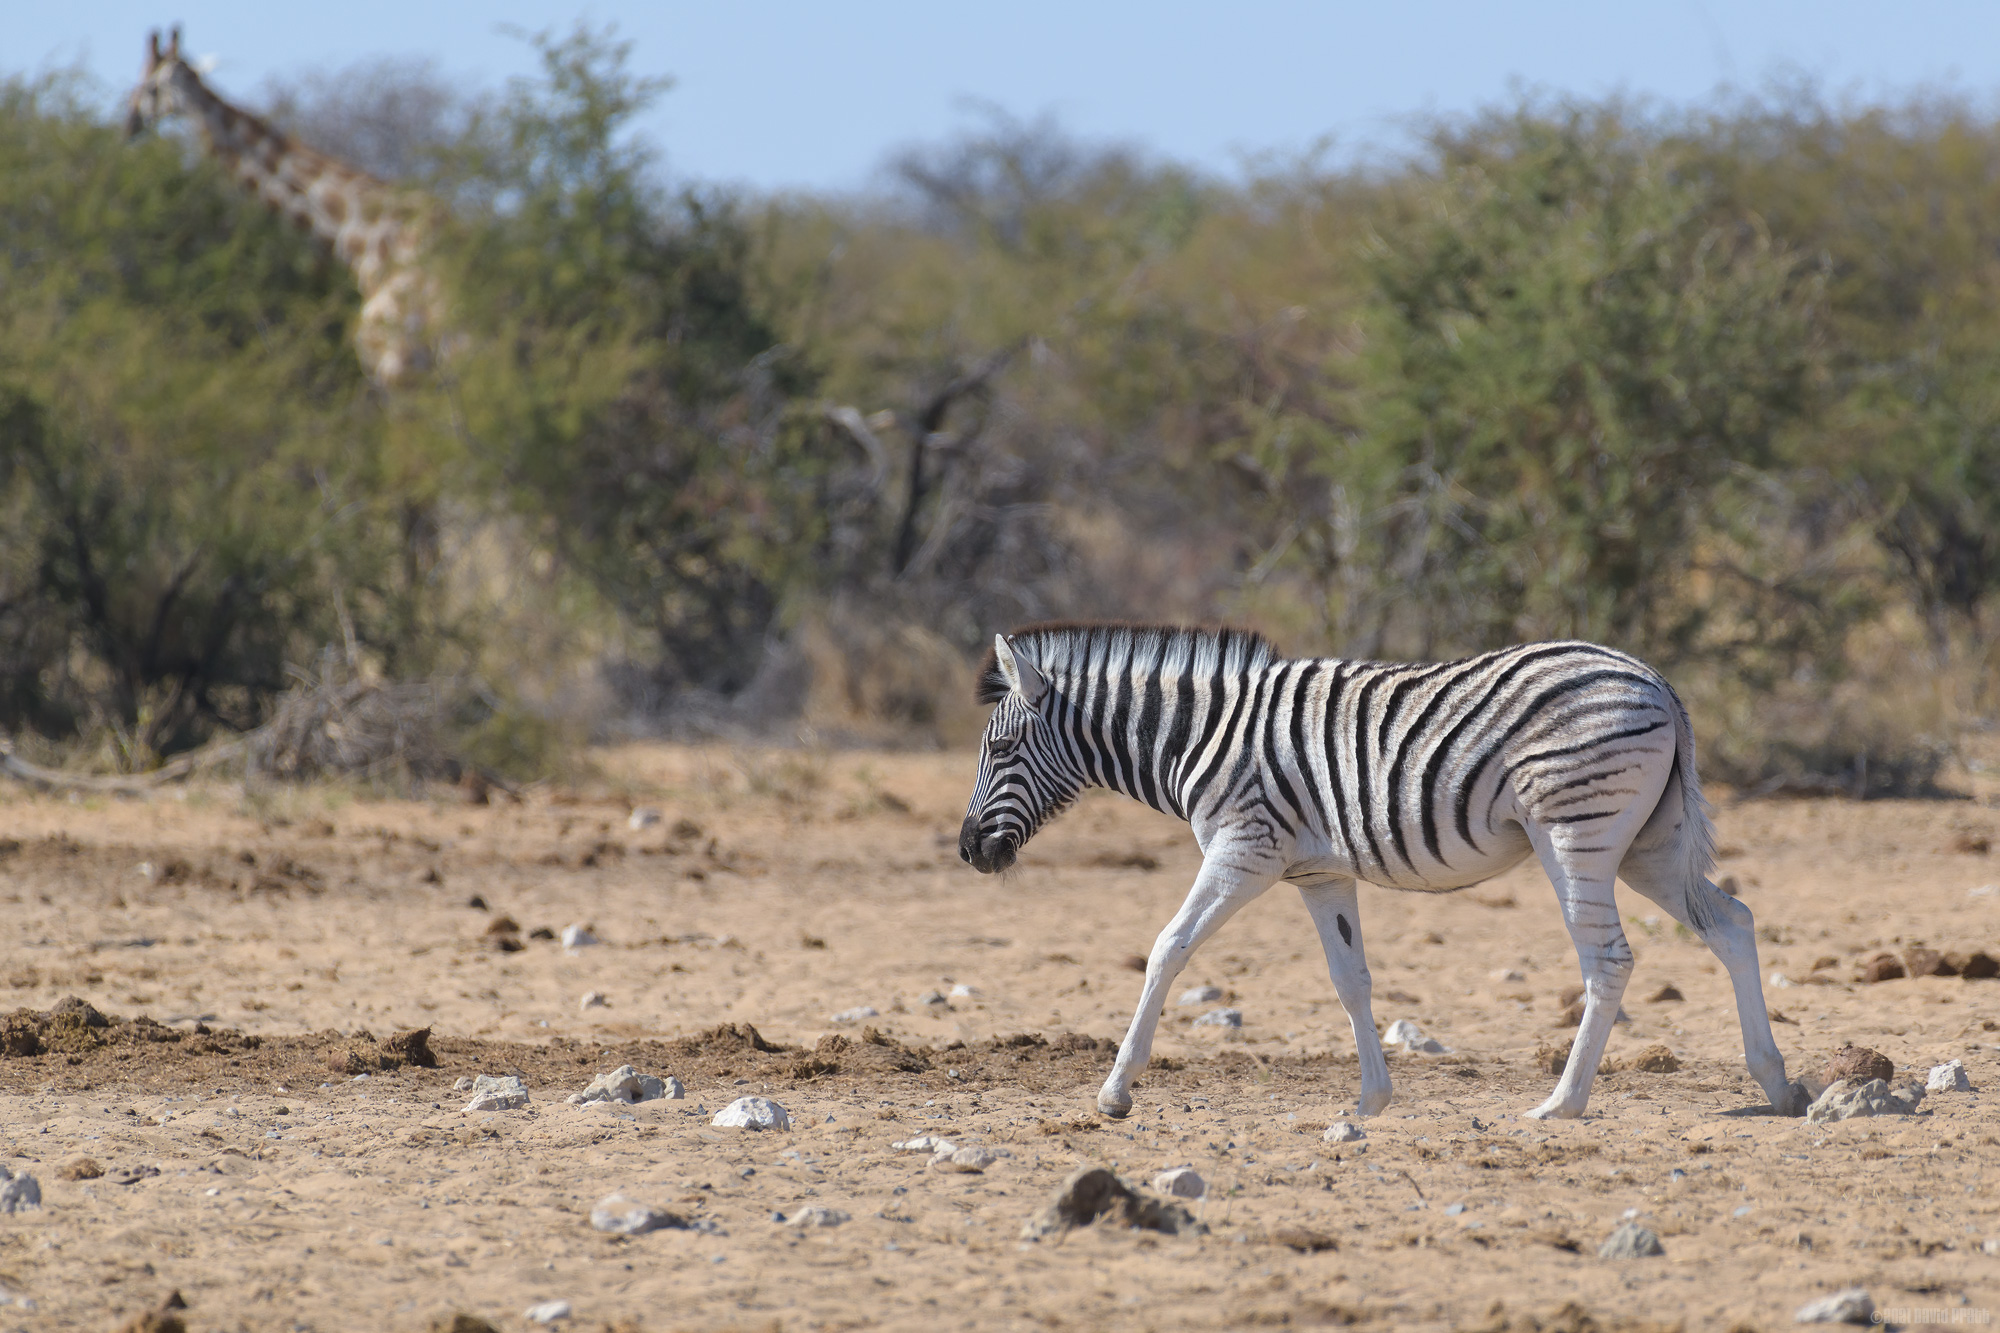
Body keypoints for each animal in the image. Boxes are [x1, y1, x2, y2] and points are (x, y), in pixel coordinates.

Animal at [957, 622, 1806, 1121]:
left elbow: (1169, 947)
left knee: (1609, 958)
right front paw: (1371, 1098)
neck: (1200, 733)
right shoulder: (1317, 872)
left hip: (1578, 832)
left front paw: (1115, 1090)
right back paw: (1776, 1082)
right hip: (1648, 845)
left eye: (999, 749)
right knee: (1732, 922)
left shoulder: (1243, 847)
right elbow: (1351, 979)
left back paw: (1560, 1104)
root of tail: (1655, 678)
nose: (968, 851)